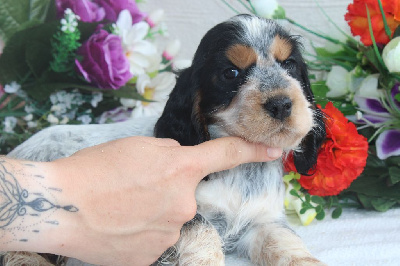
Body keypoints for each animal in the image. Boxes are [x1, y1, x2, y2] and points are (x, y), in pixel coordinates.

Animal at [6, 15, 324, 266]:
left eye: (290, 65)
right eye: (231, 73)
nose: (281, 104)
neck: (240, 169)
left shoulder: (262, 222)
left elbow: (284, 241)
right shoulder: (177, 213)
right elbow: (204, 233)